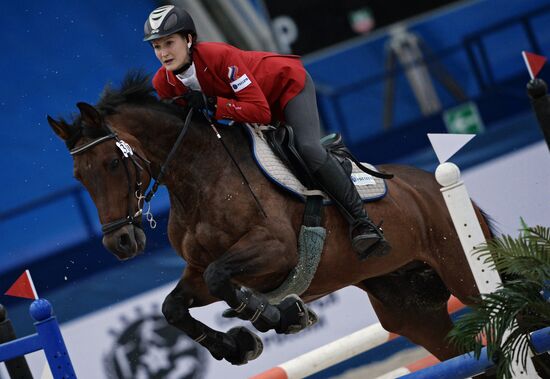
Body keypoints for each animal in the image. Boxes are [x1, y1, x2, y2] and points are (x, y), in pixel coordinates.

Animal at [46, 73, 492, 368]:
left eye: (111, 163)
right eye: (79, 176)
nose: (119, 244)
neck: (200, 176)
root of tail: (433, 186)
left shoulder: (275, 252)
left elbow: (221, 277)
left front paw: (281, 317)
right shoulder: (197, 272)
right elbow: (173, 307)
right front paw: (238, 346)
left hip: (464, 275)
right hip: (410, 309)